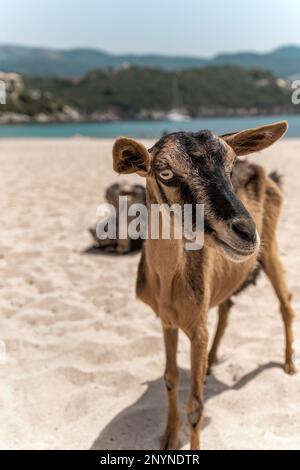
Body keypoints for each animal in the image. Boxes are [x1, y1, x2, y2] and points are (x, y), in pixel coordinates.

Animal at [112, 122, 296, 452]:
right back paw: (211, 363)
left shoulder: (197, 327)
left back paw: (288, 364)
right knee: (227, 306)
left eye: (230, 166)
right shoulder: (167, 322)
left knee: (285, 302)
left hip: (270, 247)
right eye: (165, 172)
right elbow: (170, 379)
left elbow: (195, 407)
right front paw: (169, 439)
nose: (246, 232)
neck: (168, 283)